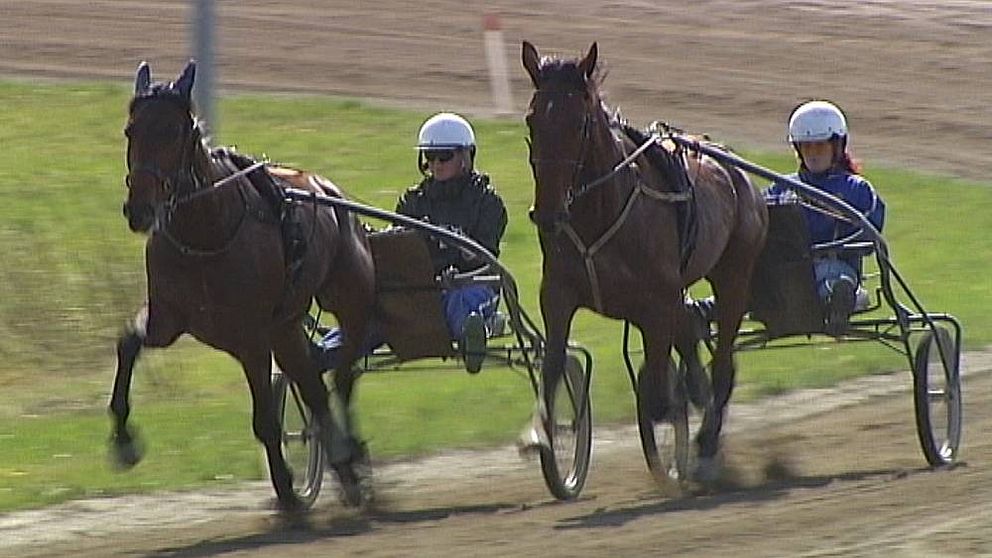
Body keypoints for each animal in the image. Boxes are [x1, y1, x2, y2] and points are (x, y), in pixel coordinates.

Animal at [110, 62, 376, 512]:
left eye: (173, 132)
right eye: (132, 131)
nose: (139, 210)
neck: (205, 233)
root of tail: (330, 191)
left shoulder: (252, 337)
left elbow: (266, 419)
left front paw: (287, 487)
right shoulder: (167, 320)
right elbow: (128, 343)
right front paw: (124, 441)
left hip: (349, 299)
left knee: (341, 378)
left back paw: (352, 456)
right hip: (286, 329)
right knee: (314, 388)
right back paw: (343, 466)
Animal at [524, 42, 772, 482]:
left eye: (578, 122)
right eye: (533, 119)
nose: (548, 215)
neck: (599, 213)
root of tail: (736, 170)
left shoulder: (656, 302)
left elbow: (657, 391)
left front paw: (679, 439)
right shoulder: (557, 294)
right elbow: (552, 368)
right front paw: (548, 439)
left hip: (735, 274)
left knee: (723, 364)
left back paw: (706, 444)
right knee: (690, 331)